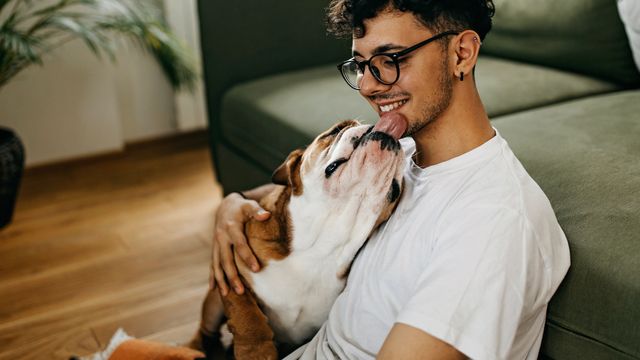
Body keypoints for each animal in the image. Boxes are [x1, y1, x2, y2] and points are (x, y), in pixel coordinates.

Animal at [190, 119, 408, 358]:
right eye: (335, 130)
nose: (380, 126)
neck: (323, 243)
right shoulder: (234, 274)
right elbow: (248, 318)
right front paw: (256, 351)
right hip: (213, 300)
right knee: (205, 330)